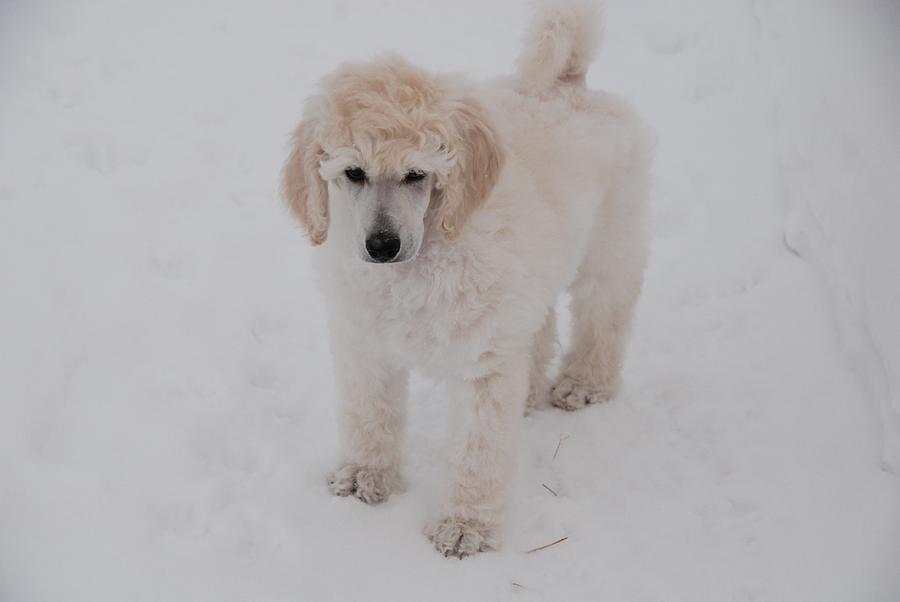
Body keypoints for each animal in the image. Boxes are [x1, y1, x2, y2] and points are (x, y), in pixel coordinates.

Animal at [280, 0, 648, 556]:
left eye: (417, 175)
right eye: (353, 174)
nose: (382, 246)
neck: (417, 267)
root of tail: (567, 82)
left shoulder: (483, 362)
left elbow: (478, 451)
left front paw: (463, 527)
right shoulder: (365, 346)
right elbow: (369, 416)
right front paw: (366, 477)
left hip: (612, 243)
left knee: (603, 317)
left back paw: (583, 384)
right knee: (539, 330)